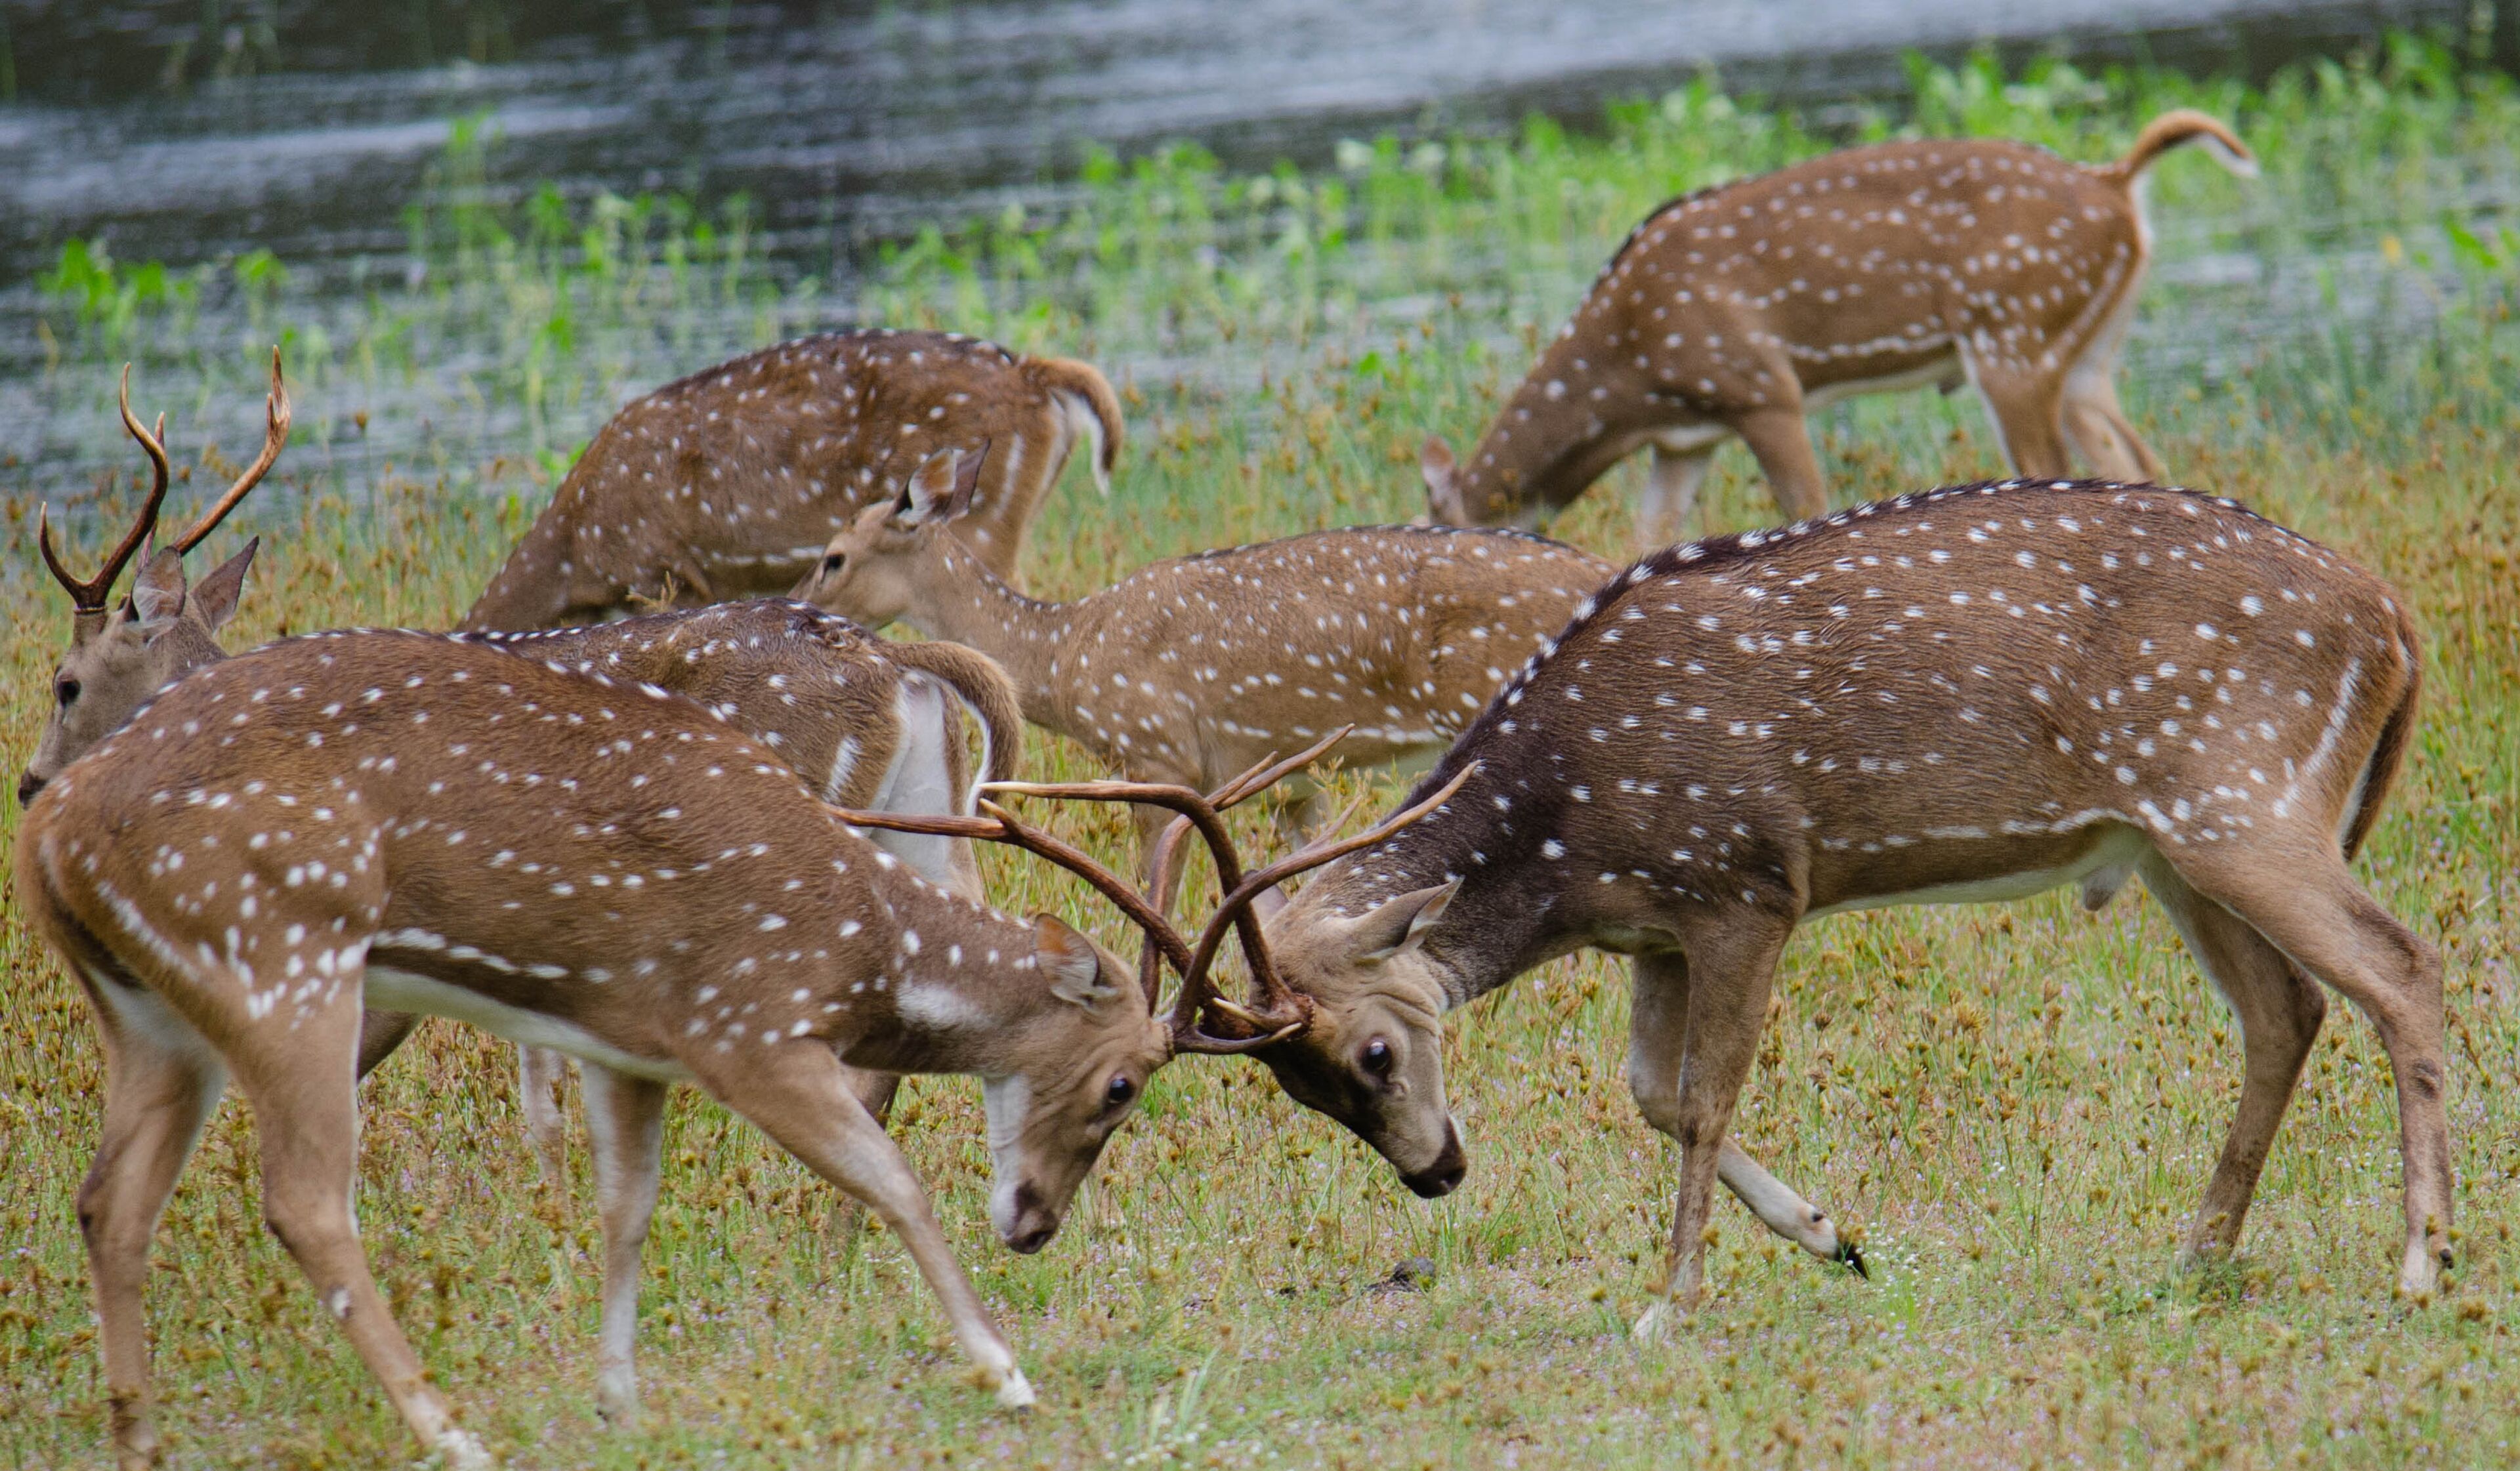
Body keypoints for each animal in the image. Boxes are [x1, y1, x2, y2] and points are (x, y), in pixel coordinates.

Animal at [15, 623, 1460, 1469]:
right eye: (1120, 1080)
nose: (1035, 1222)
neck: (850, 944)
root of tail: (47, 838)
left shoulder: (628, 1046)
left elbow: (626, 1208)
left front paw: (619, 1397)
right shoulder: (747, 1025)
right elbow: (892, 1174)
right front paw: (1003, 1370)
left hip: (158, 1019)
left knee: (107, 1197)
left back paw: (139, 1435)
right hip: (285, 962)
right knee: (305, 1198)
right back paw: (450, 1427)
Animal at [1187, 479, 2446, 1326]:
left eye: (1376, 1053)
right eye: (1296, 1090)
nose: (1435, 1173)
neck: (1567, 836)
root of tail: (2393, 617)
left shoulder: (1745, 881)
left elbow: (1701, 1100)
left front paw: (1673, 1300)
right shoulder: (1655, 926)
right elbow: (1650, 1092)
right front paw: (1834, 1237)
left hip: (2241, 797)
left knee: (2401, 967)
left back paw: (2420, 1262)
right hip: (2172, 842)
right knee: (2288, 1008)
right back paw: (2198, 1254)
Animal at [1421, 111, 2257, 546]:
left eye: (1433, 521)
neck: (1628, 377)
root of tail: (2117, 186)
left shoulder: (1760, 385)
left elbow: (1805, 504)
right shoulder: (1687, 439)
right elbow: (1647, 536)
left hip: (2014, 335)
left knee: (2054, 461)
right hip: (2087, 354)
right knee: (2137, 457)